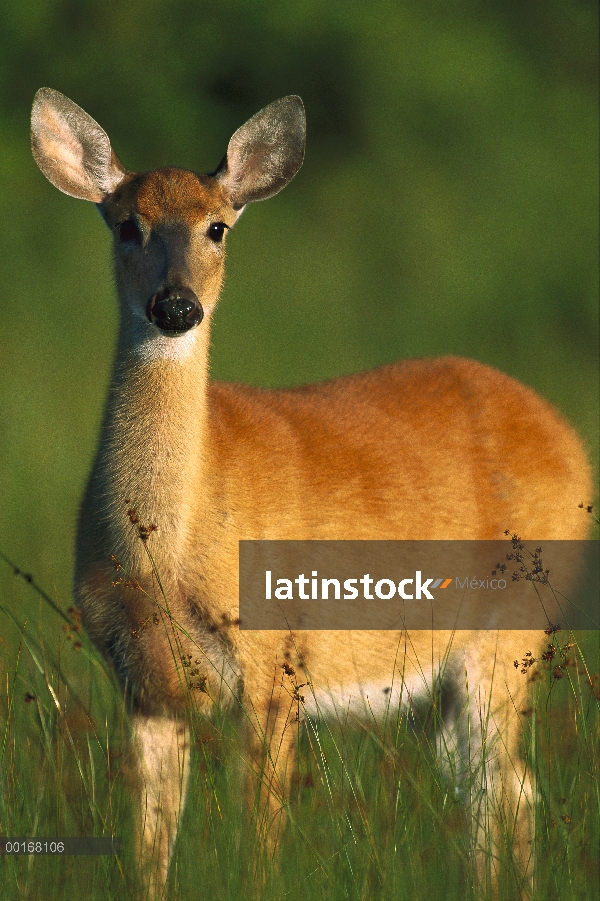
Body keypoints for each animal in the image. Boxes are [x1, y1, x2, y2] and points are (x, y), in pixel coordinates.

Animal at [30, 86, 588, 900]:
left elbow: (256, 849)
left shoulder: (275, 667)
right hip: (441, 687)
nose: (175, 306)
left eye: (218, 226)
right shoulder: (144, 687)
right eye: (126, 224)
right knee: (498, 790)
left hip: (510, 634)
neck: (166, 553)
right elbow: (148, 852)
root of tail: (569, 437)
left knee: (504, 789)